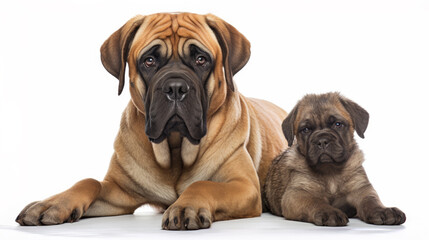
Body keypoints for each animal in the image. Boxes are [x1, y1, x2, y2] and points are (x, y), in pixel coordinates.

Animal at [15, 13, 288, 231]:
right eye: (149, 60)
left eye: (201, 59)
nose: (176, 87)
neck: (175, 149)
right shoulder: (120, 192)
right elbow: (89, 182)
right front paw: (51, 204)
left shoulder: (245, 186)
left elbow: (203, 184)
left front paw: (186, 206)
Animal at [262, 93, 406, 226]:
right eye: (306, 129)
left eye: (338, 124)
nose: (322, 141)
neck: (330, 172)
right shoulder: (297, 194)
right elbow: (315, 201)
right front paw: (329, 212)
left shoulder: (361, 189)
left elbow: (371, 200)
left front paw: (383, 210)